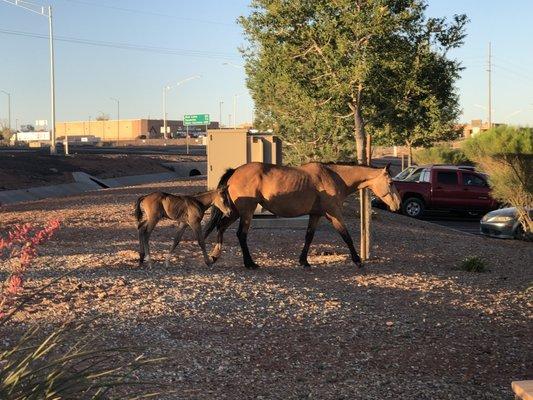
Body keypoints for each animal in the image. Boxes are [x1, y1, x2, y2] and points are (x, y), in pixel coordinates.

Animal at [204, 162, 400, 268]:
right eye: (391, 182)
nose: (397, 205)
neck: (334, 177)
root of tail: (235, 171)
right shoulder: (334, 214)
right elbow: (346, 237)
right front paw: (358, 261)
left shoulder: (315, 215)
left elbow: (309, 237)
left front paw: (303, 261)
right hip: (246, 212)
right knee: (241, 235)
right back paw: (249, 263)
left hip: (235, 212)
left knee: (221, 227)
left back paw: (214, 256)